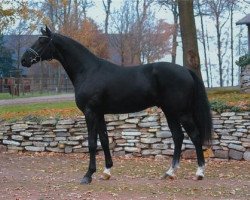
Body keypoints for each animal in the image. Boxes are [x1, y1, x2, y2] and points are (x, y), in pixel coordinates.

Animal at [22, 26, 213, 184]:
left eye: (42, 41)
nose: (24, 59)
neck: (88, 70)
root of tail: (186, 70)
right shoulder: (99, 113)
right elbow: (105, 140)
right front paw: (106, 172)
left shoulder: (90, 112)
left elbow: (92, 143)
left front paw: (88, 175)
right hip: (170, 112)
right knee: (178, 137)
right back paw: (170, 172)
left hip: (182, 113)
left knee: (195, 136)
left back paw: (199, 173)